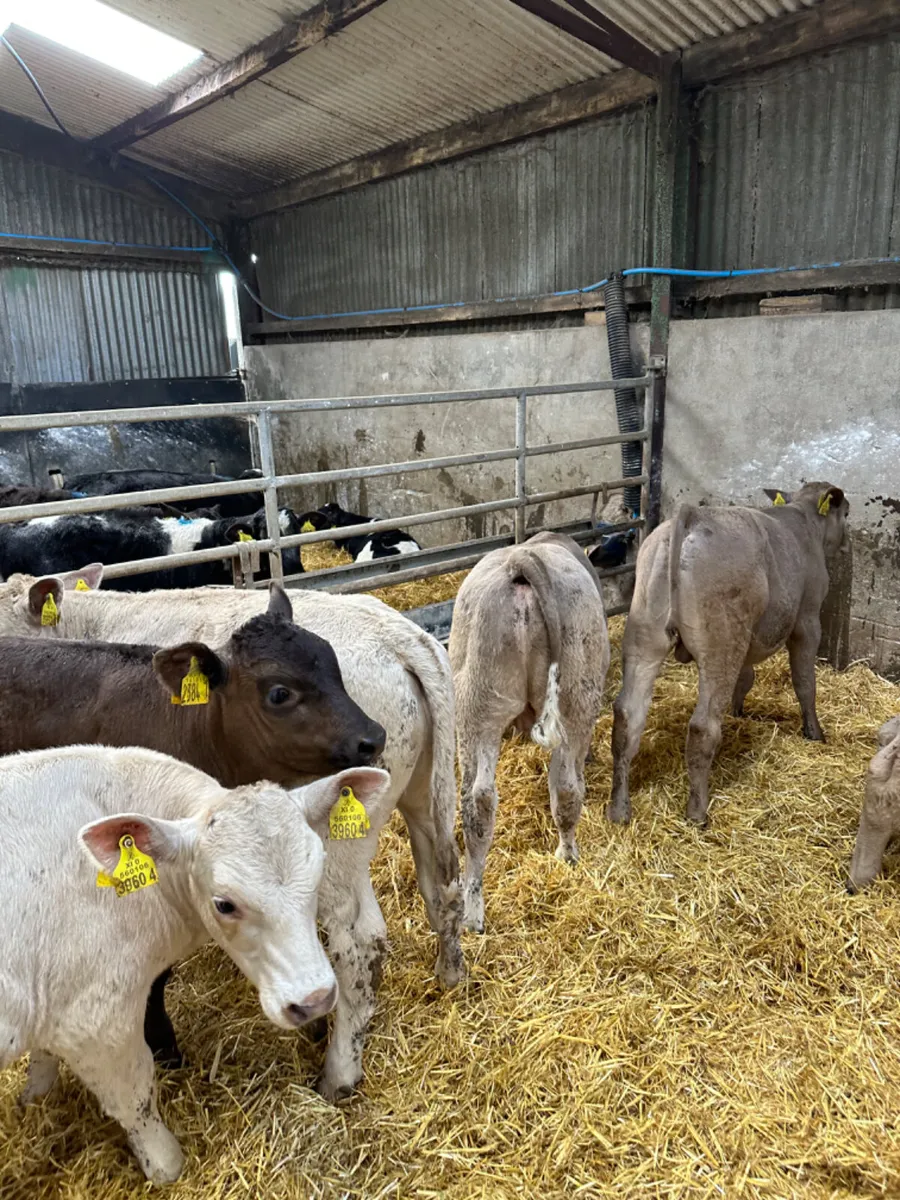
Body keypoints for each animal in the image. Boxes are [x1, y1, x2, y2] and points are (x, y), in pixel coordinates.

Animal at [0, 566, 463, 1101]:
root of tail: (404, 635)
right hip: (425, 796)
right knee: (442, 887)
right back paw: (451, 974)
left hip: (340, 849)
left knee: (359, 944)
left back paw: (338, 1071)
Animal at [1, 742, 388, 1183]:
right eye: (224, 904)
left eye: (320, 870)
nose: (315, 999)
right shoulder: (96, 1021)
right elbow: (134, 1099)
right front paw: (167, 1166)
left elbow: (43, 1058)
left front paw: (35, 1097)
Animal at [448, 531, 610, 932]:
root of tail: (521, 560)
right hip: (577, 695)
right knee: (567, 787)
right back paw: (568, 855)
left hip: (477, 703)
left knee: (477, 802)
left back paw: (472, 912)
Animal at [609, 482, 849, 828]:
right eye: (846, 514)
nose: (846, 545)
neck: (804, 518)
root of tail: (692, 516)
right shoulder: (807, 620)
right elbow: (805, 682)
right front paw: (814, 733)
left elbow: (746, 678)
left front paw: (738, 711)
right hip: (721, 644)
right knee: (702, 727)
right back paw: (697, 812)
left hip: (645, 635)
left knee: (627, 717)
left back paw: (619, 809)